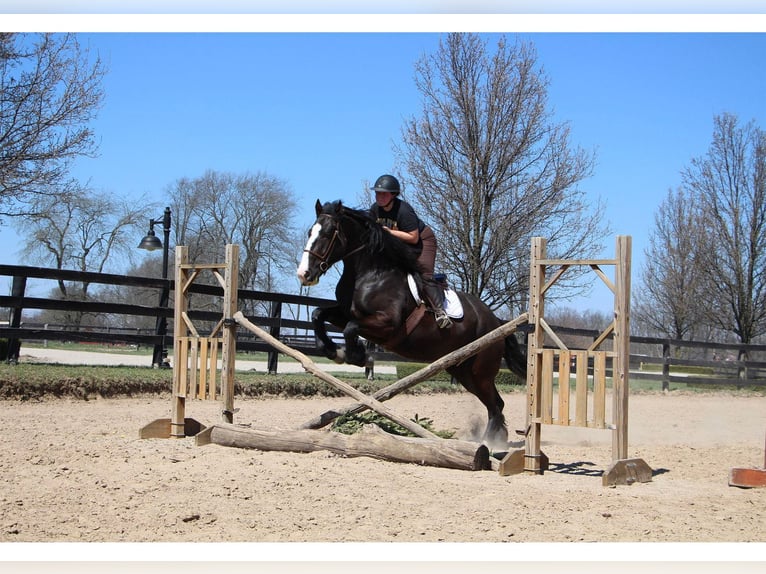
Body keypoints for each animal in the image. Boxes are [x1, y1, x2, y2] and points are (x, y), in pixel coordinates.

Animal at [296, 200, 528, 448]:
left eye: (328, 233)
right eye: (310, 233)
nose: (304, 274)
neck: (370, 274)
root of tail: (496, 321)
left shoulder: (387, 324)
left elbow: (351, 328)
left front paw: (356, 355)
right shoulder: (344, 312)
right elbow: (318, 314)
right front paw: (333, 351)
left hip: (480, 371)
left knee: (495, 405)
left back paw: (489, 443)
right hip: (464, 370)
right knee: (495, 404)